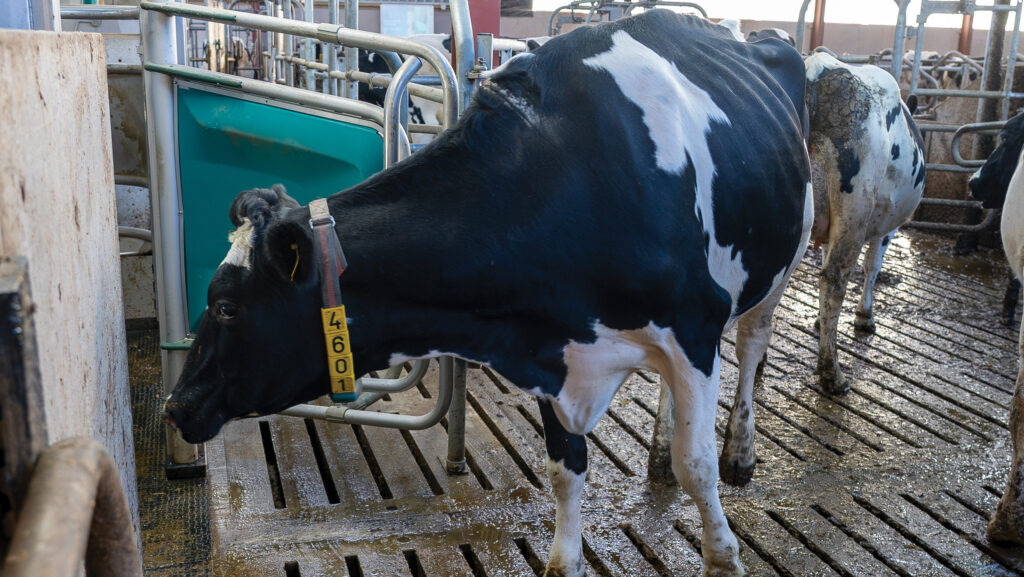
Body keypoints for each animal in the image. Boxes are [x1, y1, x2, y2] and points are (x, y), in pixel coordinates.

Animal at [163, 11, 811, 573]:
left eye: (226, 306)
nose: (175, 406)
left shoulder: (694, 328)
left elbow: (697, 466)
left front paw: (723, 555)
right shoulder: (551, 349)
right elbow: (565, 468)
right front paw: (563, 562)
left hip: (782, 263)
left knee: (751, 345)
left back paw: (741, 452)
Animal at [806, 52, 929, 395]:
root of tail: (819, 70)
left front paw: (820, 321)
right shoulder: (887, 228)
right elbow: (872, 267)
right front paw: (864, 317)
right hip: (855, 212)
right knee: (834, 279)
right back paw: (832, 374)